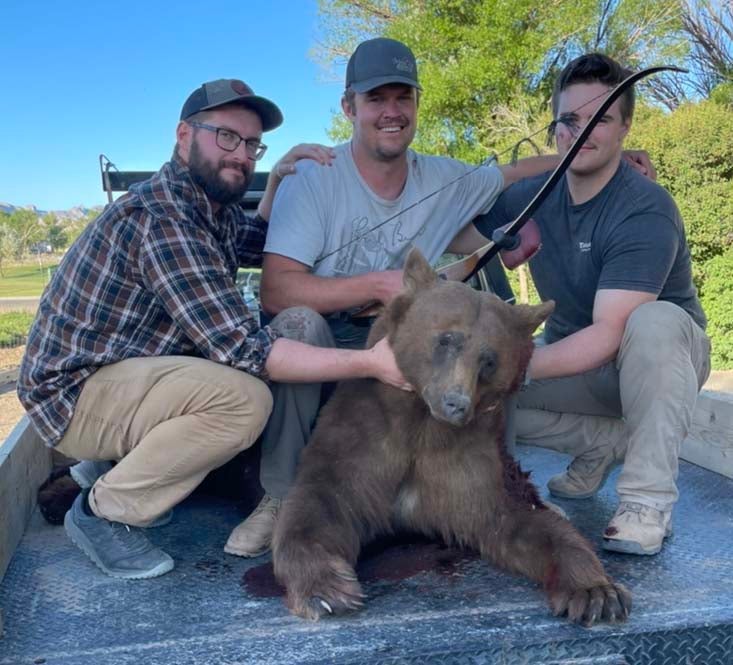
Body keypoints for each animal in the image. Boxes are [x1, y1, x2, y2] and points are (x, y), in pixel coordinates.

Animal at [272, 246, 632, 624]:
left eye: (489, 360)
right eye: (447, 339)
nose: (456, 404)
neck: (421, 424)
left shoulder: (465, 463)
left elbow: (517, 520)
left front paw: (597, 593)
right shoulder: (362, 437)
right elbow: (319, 503)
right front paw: (328, 591)